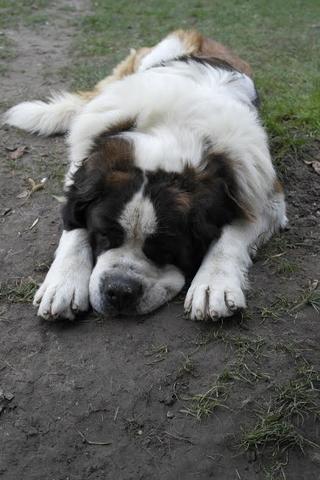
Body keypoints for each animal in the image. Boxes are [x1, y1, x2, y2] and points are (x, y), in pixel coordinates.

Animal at [3, 30, 288, 322]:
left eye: (165, 247)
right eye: (104, 234)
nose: (119, 290)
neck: (170, 130)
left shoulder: (263, 194)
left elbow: (230, 235)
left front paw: (213, 284)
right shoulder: (82, 170)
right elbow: (73, 225)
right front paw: (64, 282)